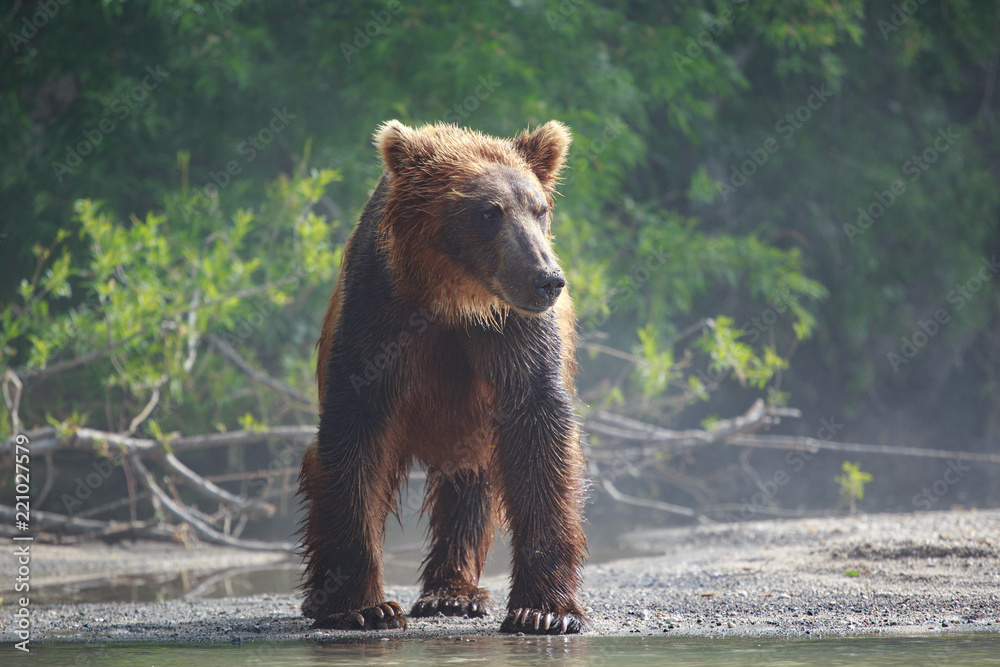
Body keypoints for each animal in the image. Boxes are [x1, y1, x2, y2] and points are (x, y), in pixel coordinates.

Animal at [297, 119, 589, 635]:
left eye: (540, 209)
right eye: (489, 212)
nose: (547, 278)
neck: (455, 296)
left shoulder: (513, 332)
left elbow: (540, 433)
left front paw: (544, 611)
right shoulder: (379, 313)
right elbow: (355, 436)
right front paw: (364, 607)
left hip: (471, 429)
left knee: (470, 487)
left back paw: (454, 594)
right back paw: (323, 597)